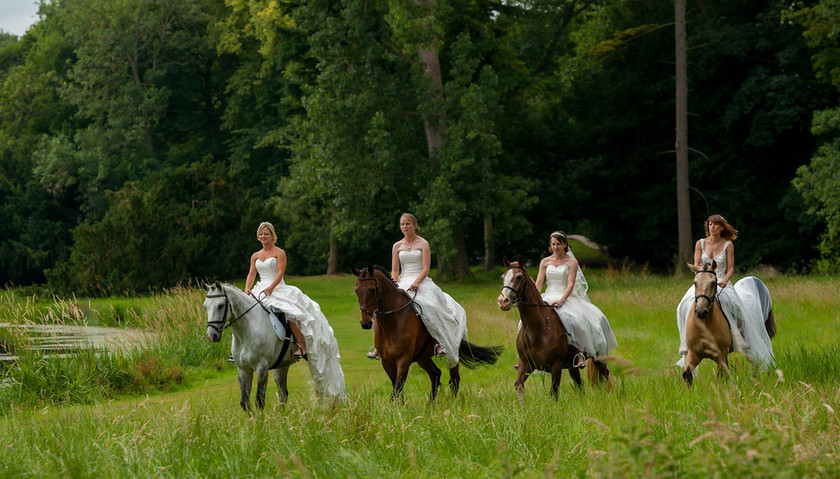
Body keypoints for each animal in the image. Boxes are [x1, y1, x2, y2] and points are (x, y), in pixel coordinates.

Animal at [352, 266, 502, 402]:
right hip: (422, 357)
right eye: (356, 291)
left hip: (452, 351)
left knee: (454, 379)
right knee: (435, 374)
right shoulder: (386, 360)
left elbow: (398, 387)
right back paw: (431, 404)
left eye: (372, 290)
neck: (392, 321)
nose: (365, 323)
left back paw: (452, 403)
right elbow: (397, 388)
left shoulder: (404, 359)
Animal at [498, 256, 612, 404]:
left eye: (518, 277)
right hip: (572, 365)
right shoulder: (526, 363)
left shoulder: (556, 366)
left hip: (599, 357)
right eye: (503, 277)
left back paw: (610, 396)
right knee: (580, 385)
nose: (503, 301)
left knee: (605, 375)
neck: (538, 329)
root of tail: (600, 314)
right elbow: (519, 385)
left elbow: (554, 392)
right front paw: (521, 408)